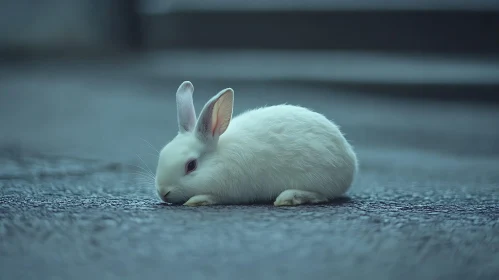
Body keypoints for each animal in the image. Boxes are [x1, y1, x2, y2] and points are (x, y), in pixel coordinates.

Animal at [154, 81, 358, 206]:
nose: (163, 192)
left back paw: (288, 198)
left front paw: (197, 200)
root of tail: (350, 160)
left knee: (321, 196)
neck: (219, 156)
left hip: (318, 179)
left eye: (191, 165)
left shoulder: (228, 192)